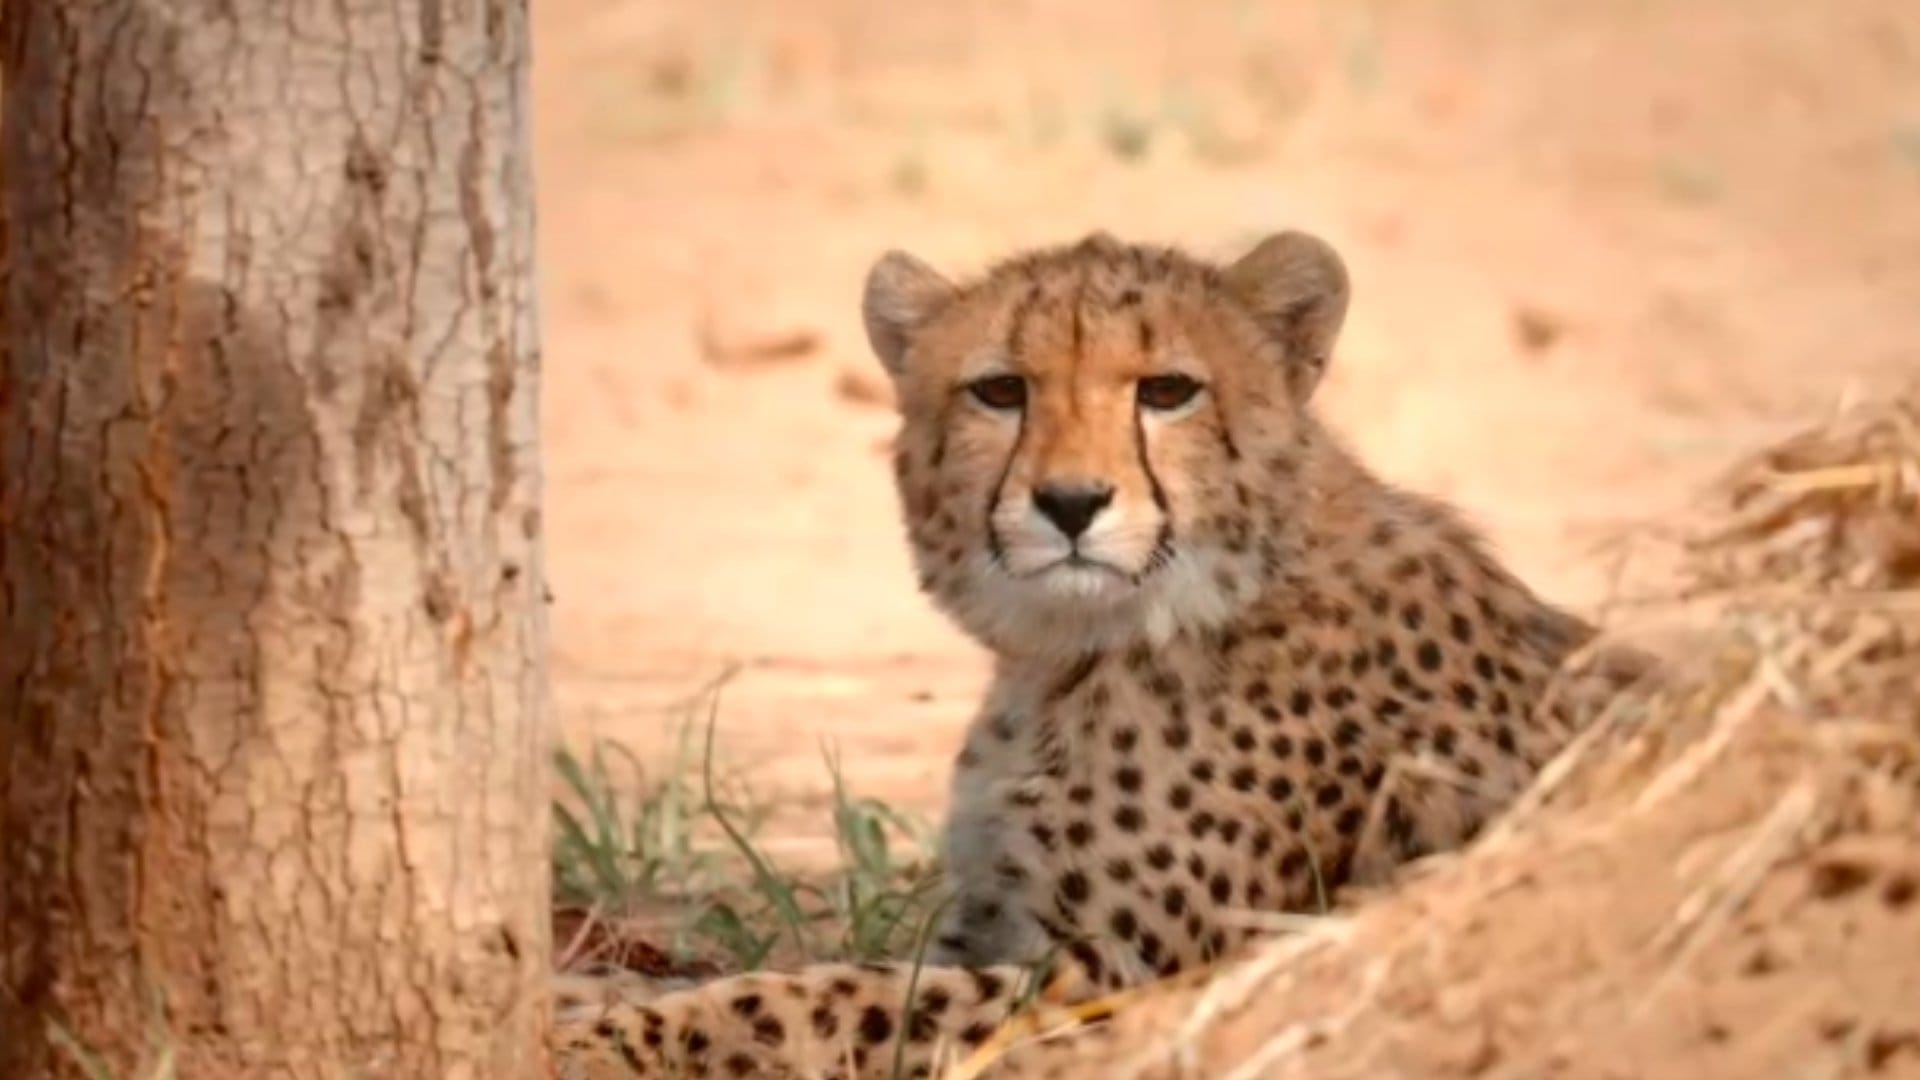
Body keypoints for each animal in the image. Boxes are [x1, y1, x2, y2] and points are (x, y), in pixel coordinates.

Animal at [554, 229, 1632, 1078]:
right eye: (1000, 391)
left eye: (1169, 391)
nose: (1070, 503)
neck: (1081, 651)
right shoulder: (994, 918)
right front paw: (589, 1005)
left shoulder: (1124, 982)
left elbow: (810, 997)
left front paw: (613, 1041)